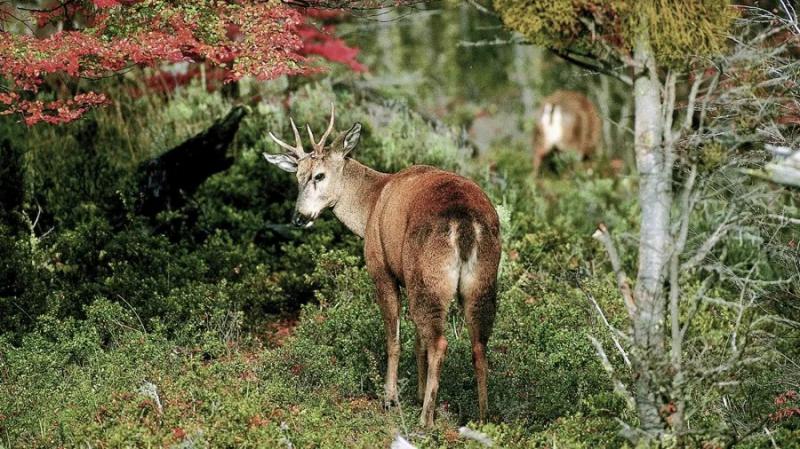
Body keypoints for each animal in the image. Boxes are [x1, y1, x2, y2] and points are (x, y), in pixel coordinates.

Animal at [264, 105, 500, 428]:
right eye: (297, 177)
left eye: (319, 175)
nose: (299, 217)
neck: (370, 205)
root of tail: (464, 223)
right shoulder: (407, 276)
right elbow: (416, 341)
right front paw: (416, 393)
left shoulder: (382, 268)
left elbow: (394, 338)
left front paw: (391, 398)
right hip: (480, 279)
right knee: (478, 344)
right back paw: (482, 417)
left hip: (429, 276)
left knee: (440, 342)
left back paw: (426, 419)